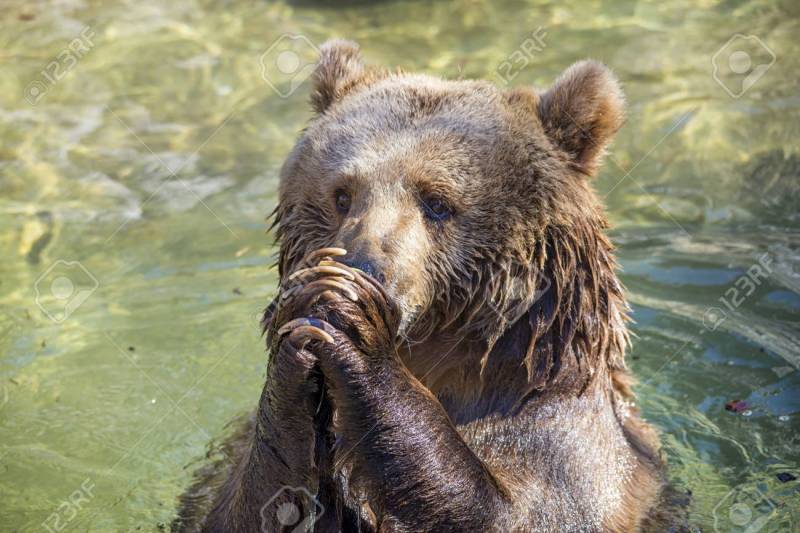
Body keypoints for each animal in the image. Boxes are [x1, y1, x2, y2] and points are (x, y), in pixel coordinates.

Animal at [173, 39, 680, 528]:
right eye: (342, 194)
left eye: (437, 202)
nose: (364, 266)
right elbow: (243, 506)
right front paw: (304, 315)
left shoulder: (562, 439)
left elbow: (515, 512)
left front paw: (354, 319)